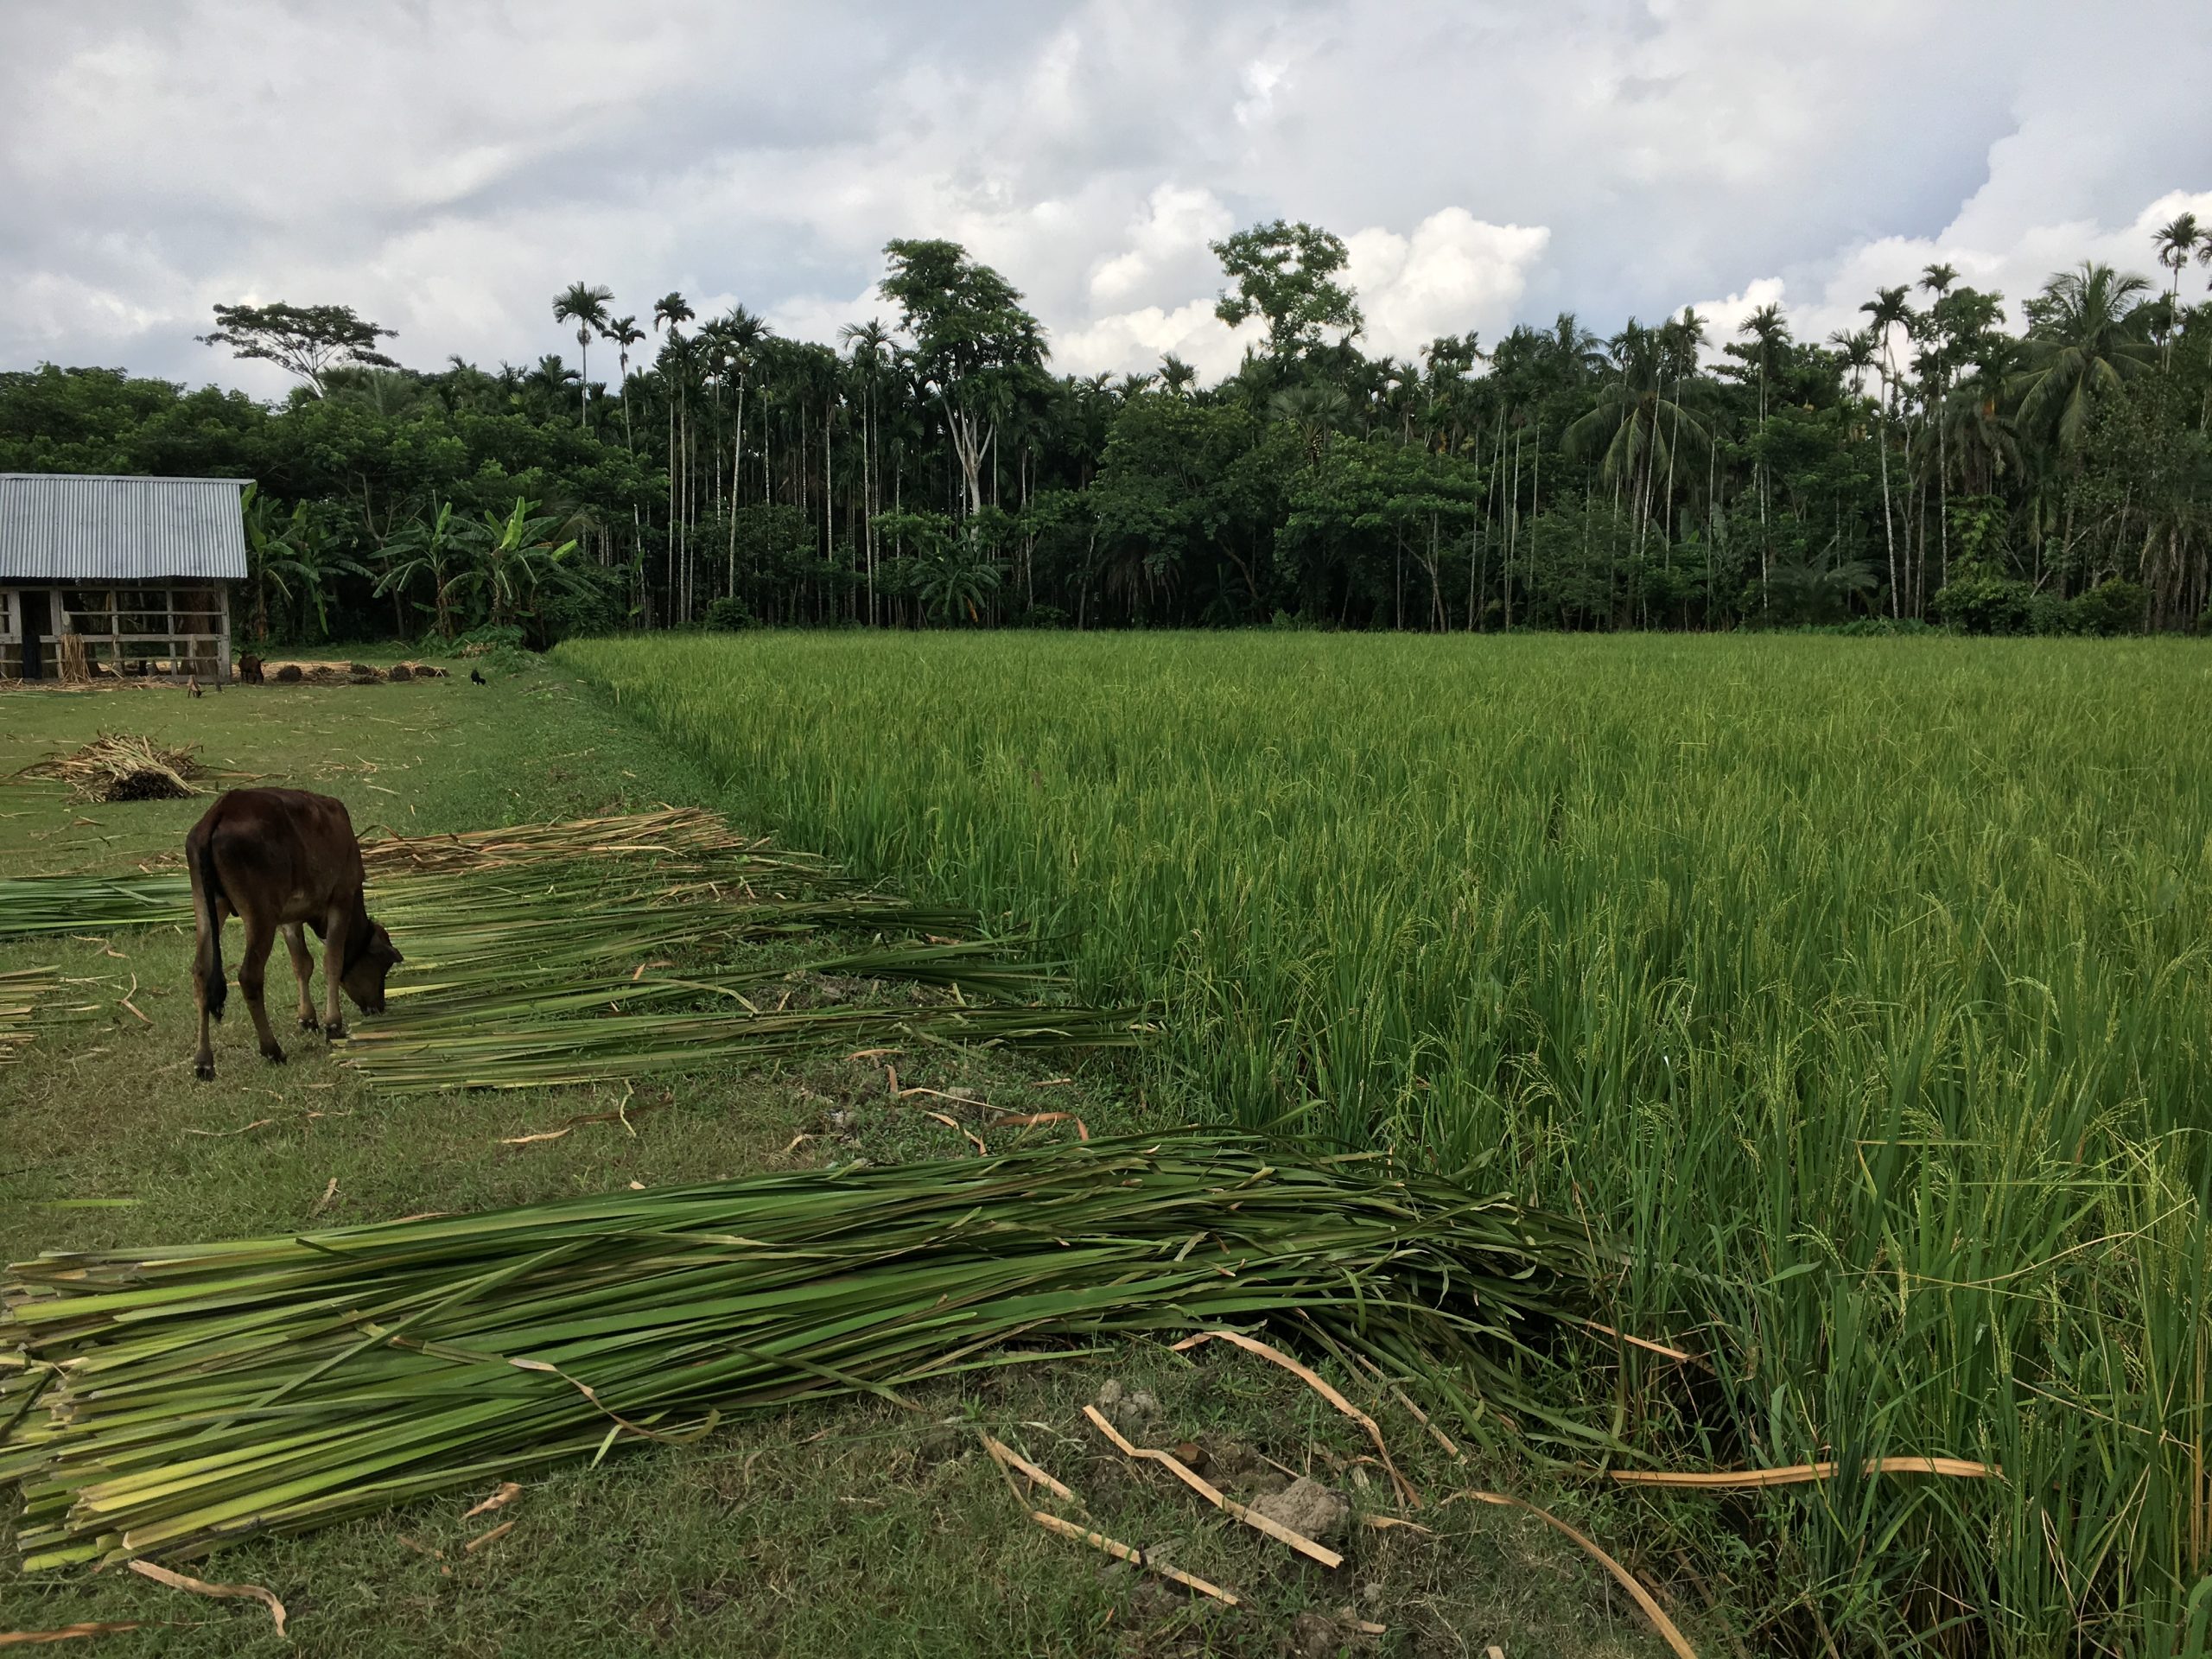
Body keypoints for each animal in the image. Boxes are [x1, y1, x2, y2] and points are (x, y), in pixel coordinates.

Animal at [187, 787, 402, 1084]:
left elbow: (302, 963)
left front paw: (307, 1018)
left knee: (201, 971)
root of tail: (219, 811)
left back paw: (203, 1061)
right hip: (260, 912)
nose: (378, 1006)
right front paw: (333, 1024)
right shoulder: (341, 897)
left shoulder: (290, 916)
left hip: (207, 905)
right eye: (384, 965)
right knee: (249, 976)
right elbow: (332, 961)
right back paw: (272, 1049)